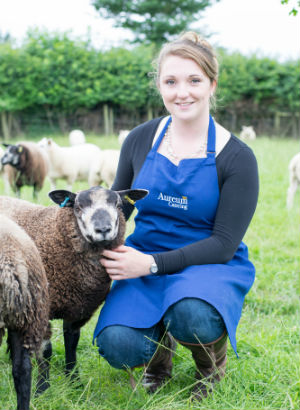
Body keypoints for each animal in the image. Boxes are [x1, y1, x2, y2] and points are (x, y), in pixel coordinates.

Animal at [0, 186, 148, 394]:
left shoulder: (77, 310)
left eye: (118, 205)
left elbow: (71, 346)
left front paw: (74, 383)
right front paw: (42, 388)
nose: (103, 229)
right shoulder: (42, 310)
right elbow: (46, 351)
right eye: (78, 207)